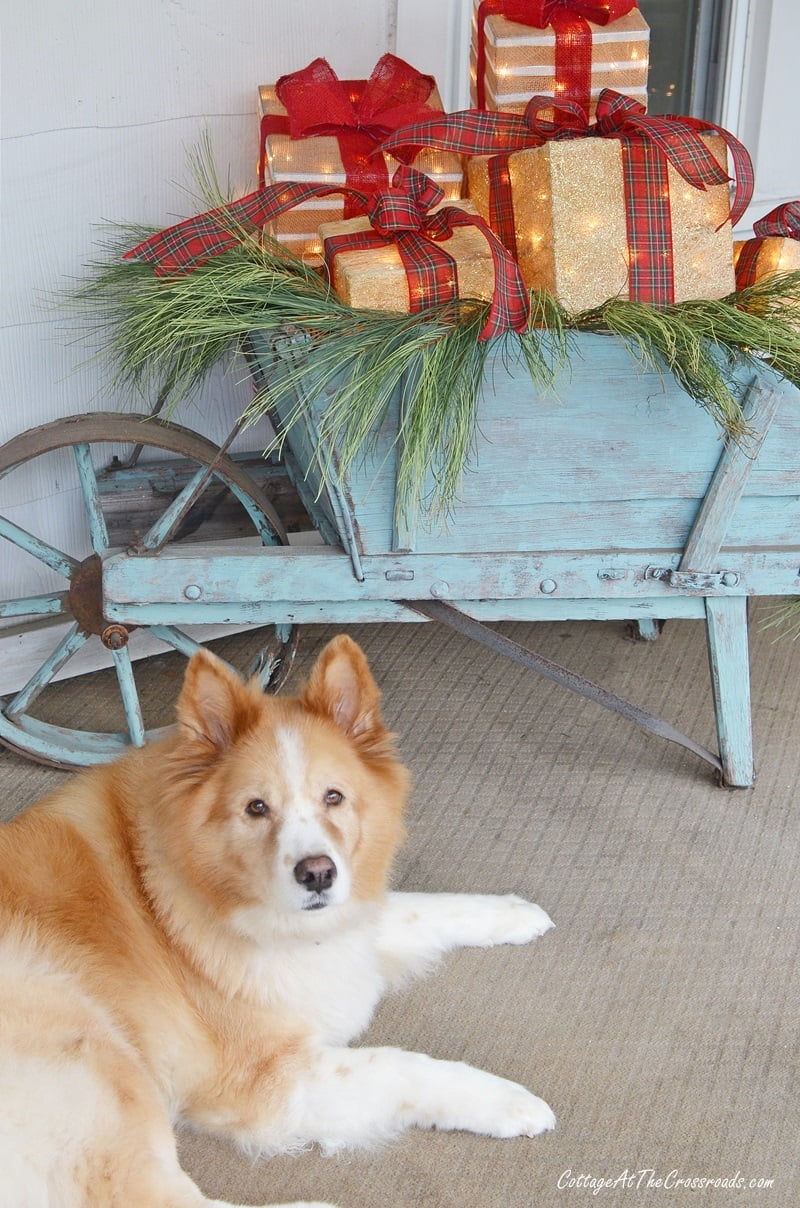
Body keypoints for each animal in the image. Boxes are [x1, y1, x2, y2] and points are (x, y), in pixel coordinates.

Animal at [0, 637, 558, 1203]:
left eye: (333, 797)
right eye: (256, 808)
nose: (318, 875)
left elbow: (422, 906)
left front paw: (513, 912)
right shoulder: (265, 1079)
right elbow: (402, 1066)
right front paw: (505, 1099)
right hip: (102, 1062)